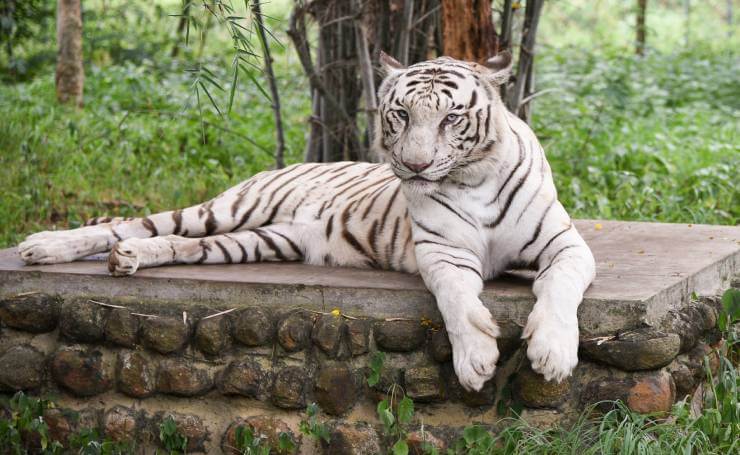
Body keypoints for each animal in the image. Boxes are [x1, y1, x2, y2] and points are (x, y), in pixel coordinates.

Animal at [15, 50, 596, 392]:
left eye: (452, 117)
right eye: (401, 114)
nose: (414, 166)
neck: (472, 178)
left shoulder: (566, 244)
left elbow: (560, 288)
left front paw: (552, 353)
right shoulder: (442, 252)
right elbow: (457, 299)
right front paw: (476, 358)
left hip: (259, 240)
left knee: (179, 244)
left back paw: (130, 259)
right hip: (227, 209)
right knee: (135, 224)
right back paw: (43, 246)